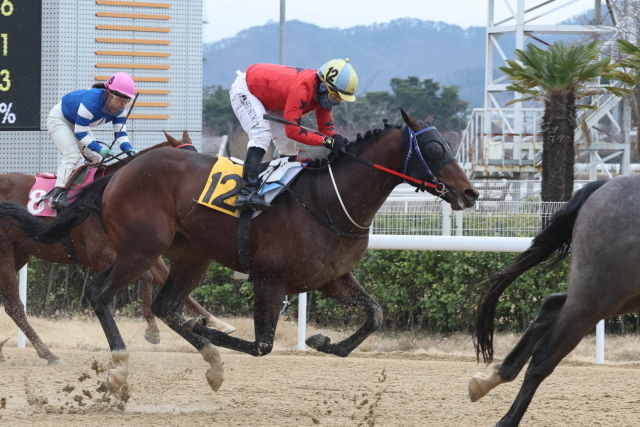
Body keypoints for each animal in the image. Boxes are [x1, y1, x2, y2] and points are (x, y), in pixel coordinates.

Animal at [0, 132, 232, 366]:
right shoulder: (102, 255)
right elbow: (147, 277)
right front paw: (152, 329)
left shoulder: (146, 252)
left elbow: (165, 278)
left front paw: (217, 322)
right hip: (5, 253)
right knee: (14, 306)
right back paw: (49, 354)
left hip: (19, 253)